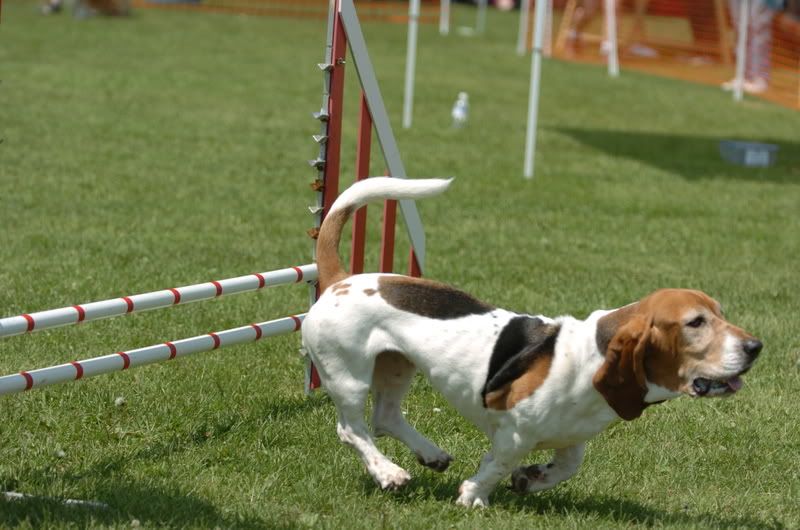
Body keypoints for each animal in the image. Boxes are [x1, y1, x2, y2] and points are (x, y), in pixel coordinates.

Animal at [300, 176, 764, 504]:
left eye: (721, 313)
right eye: (695, 323)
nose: (756, 347)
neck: (591, 358)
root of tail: (340, 279)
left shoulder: (572, 439)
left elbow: (567, 466)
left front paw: (531, 479)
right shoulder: (514, 431)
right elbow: (498, 464)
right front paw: (473, 496)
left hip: (398, 365)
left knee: (385, 417)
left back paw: (430, 454)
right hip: (348, 375)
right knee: (352, 430)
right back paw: (388, 472)